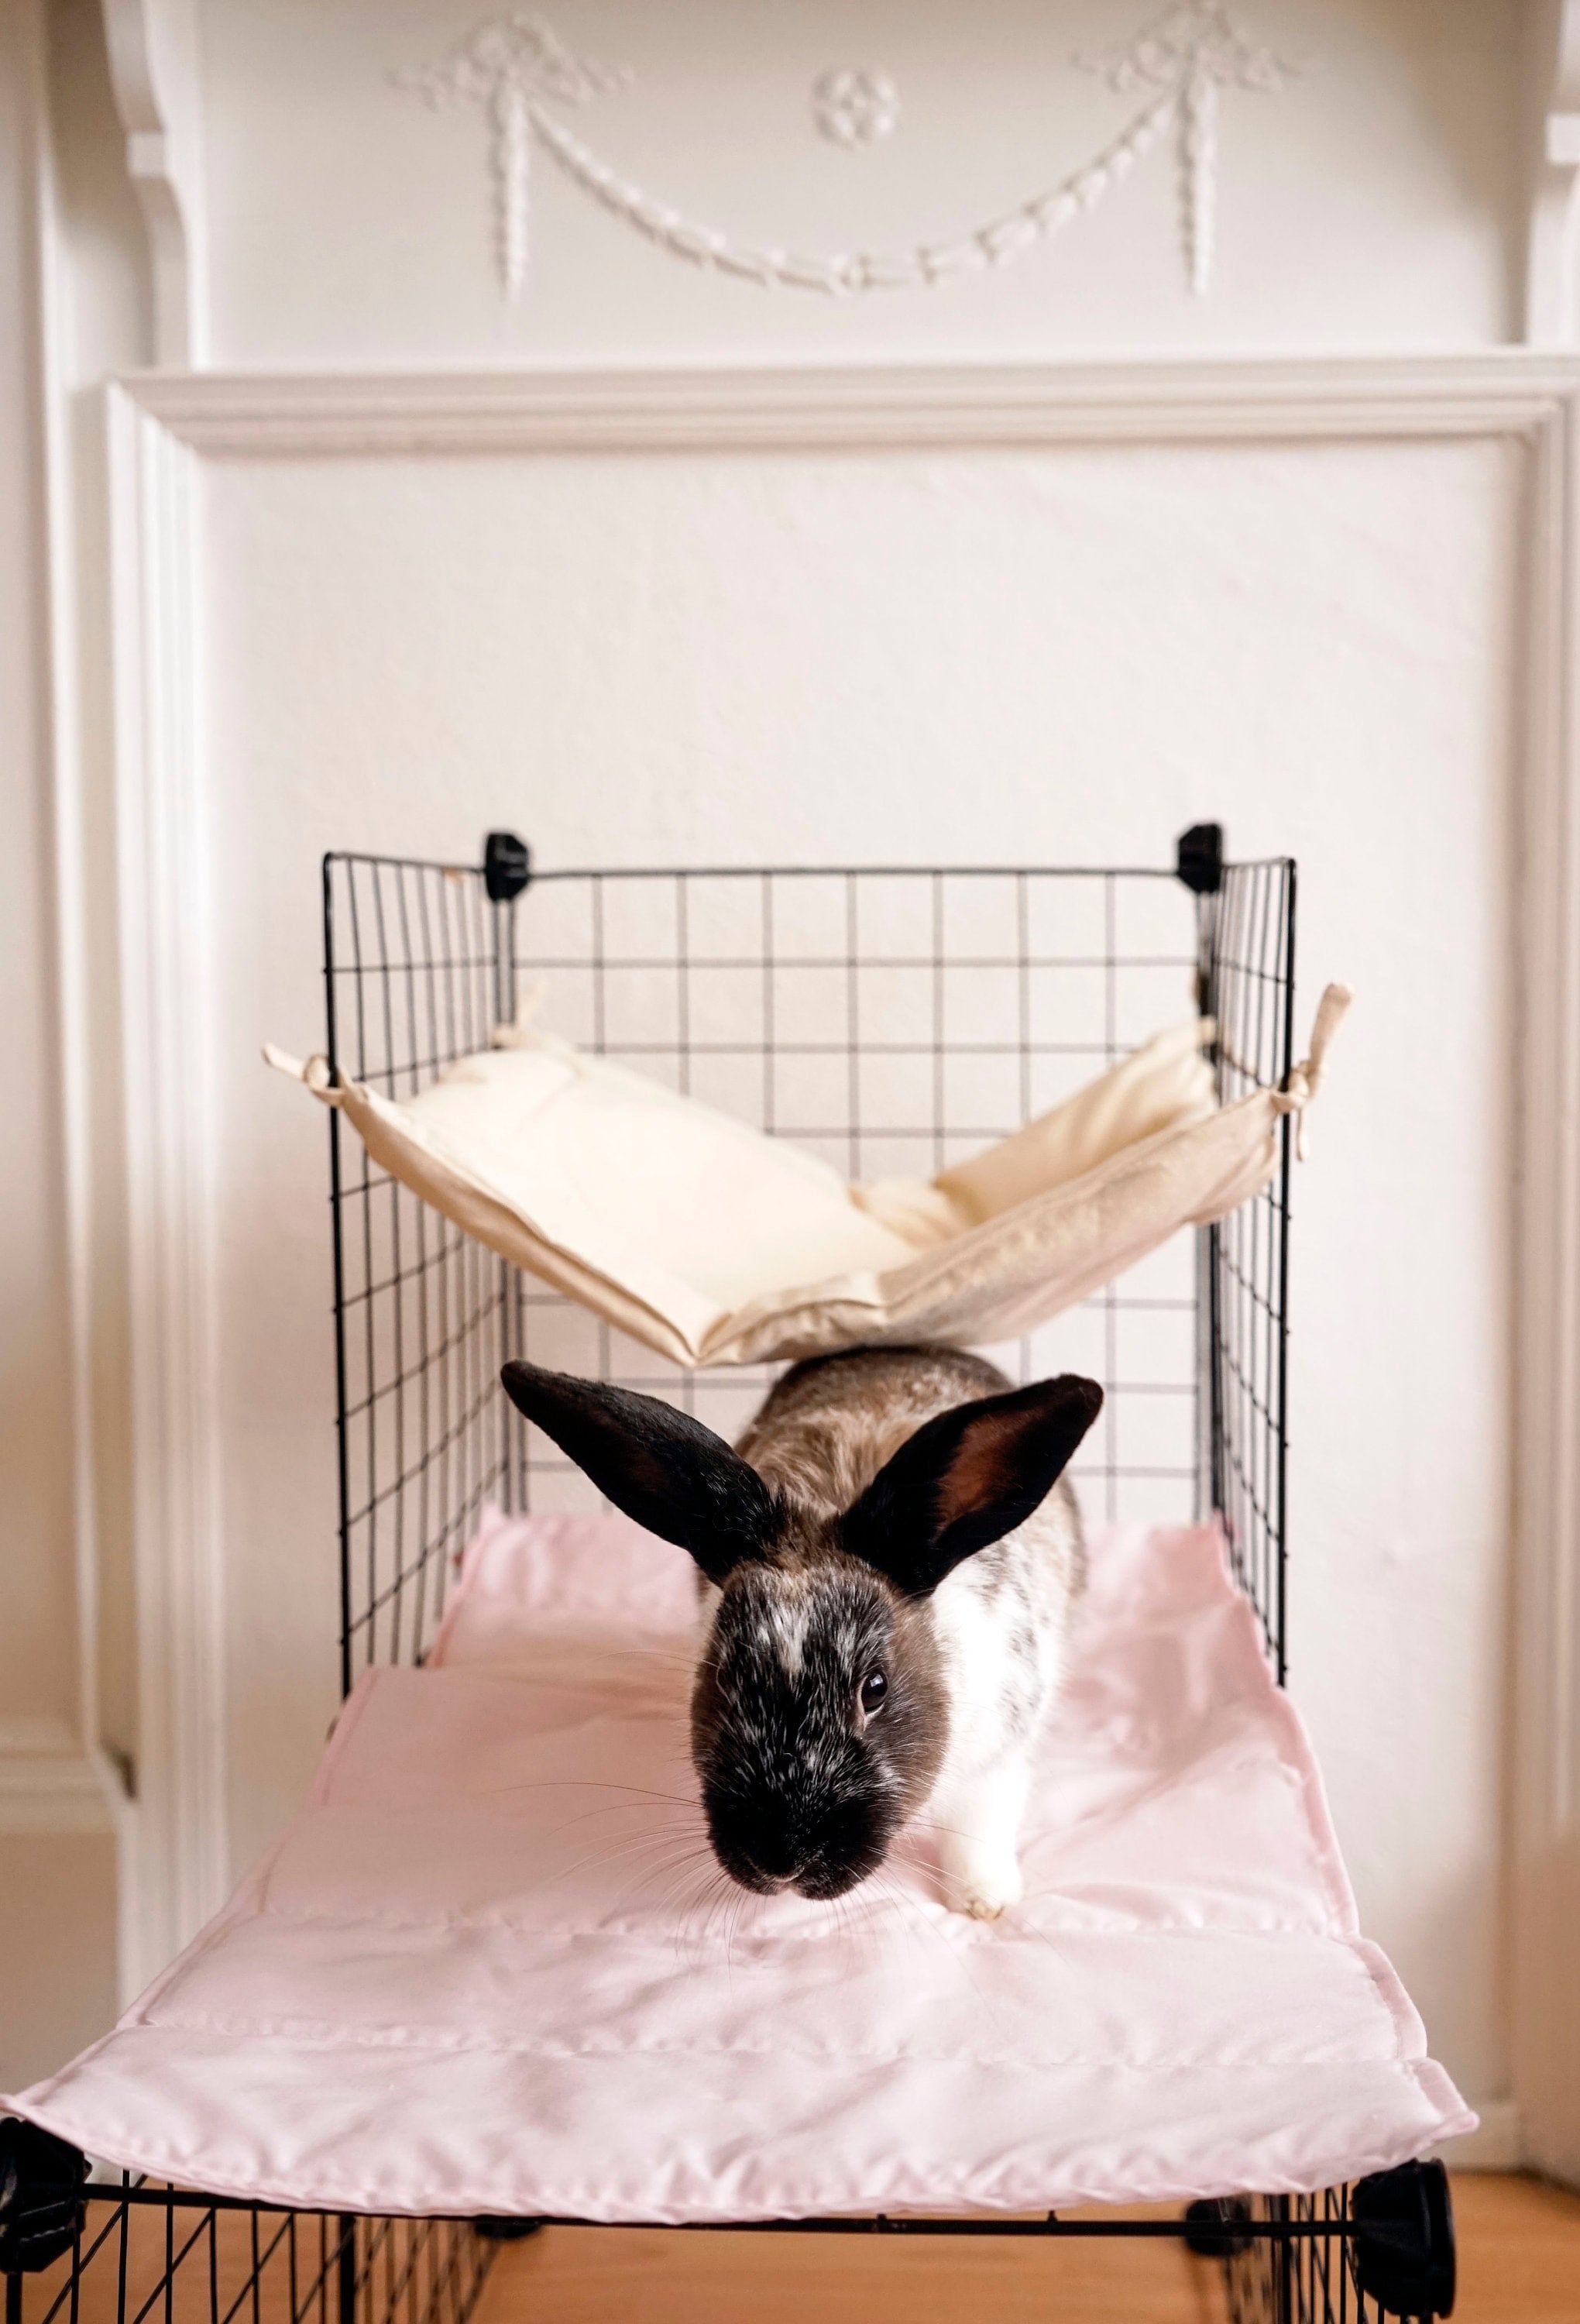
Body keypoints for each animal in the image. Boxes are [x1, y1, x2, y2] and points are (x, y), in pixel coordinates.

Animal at [500, 1346, 1102, 1920]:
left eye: (875, 1689)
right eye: (723, 1678)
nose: (781, 1862)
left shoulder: (998, 1759)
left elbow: (981, 1832)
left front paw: (984, 1903)